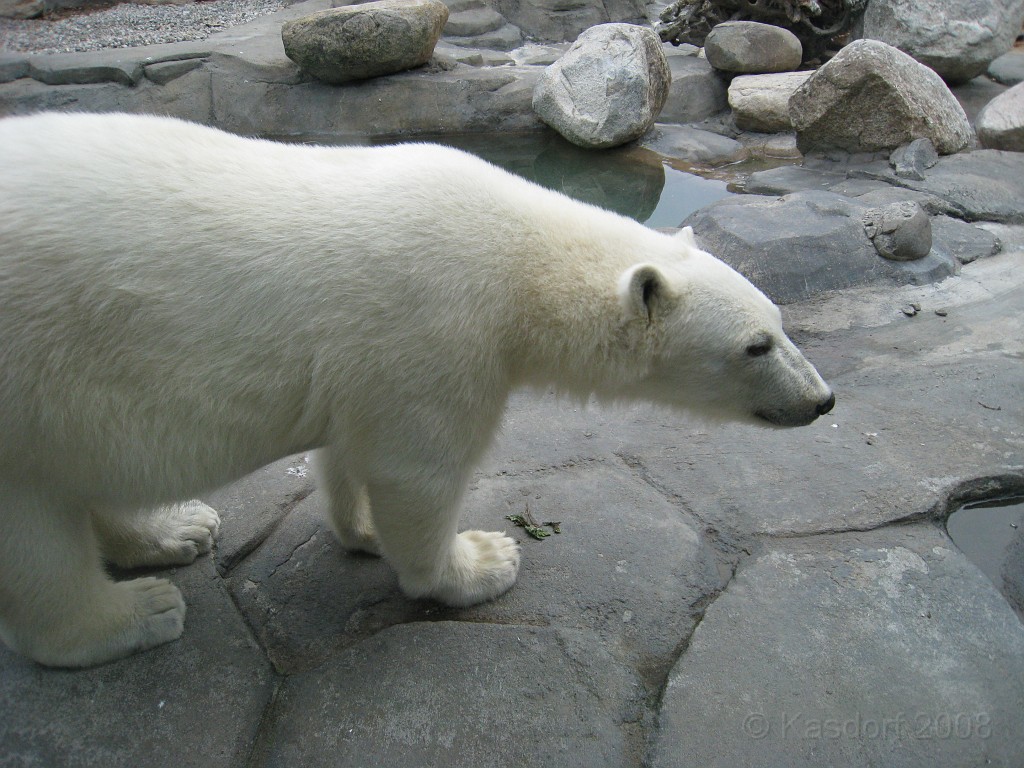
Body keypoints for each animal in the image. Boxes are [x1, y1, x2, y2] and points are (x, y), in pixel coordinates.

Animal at [0, 112, 831, 667]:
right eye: (755, 345)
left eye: (780, 322)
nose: (821, 401)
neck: (521, 255)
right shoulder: (440, 325)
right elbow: (420, 472)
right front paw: (480, 562)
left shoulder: (370, 359)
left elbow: (352, 451)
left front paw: (361, 529)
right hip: (30, 379)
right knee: (34, 527)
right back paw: (133, 613)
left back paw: (177, 530)